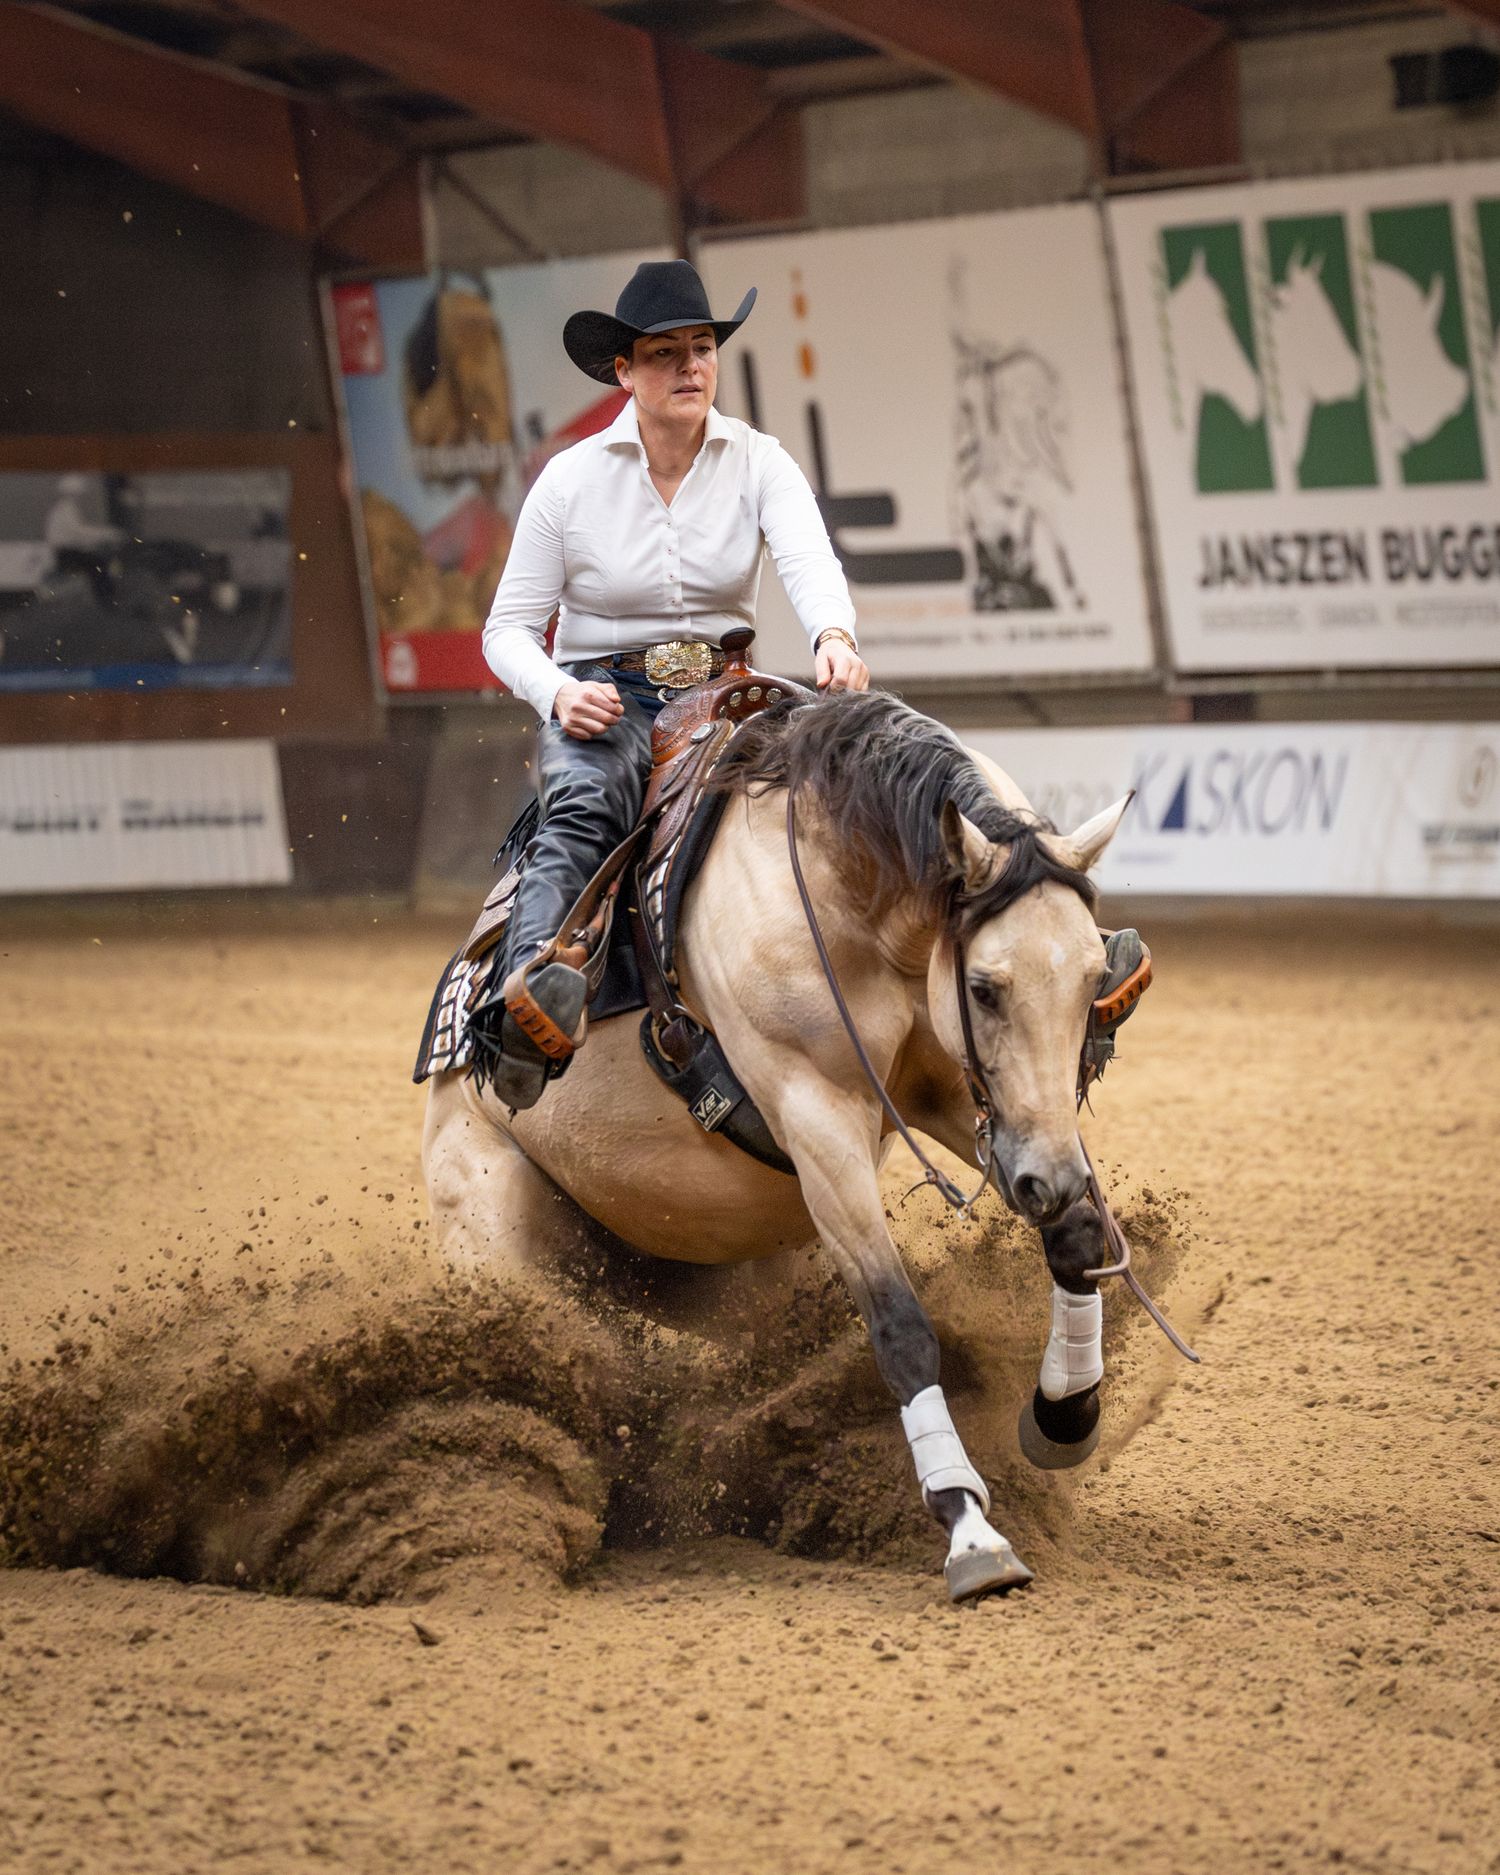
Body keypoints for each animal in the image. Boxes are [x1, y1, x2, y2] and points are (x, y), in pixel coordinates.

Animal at [422, 691, 1134, 1600]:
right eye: (984, 987)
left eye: (1089, 980)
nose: (1048, 1176)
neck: (851, 897)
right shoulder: (818, 1118)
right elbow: (900, 1326)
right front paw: (968, 1527)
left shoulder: (954, 1095)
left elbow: (1078, 1237)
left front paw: (1065, 1413)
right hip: (493, 1237)